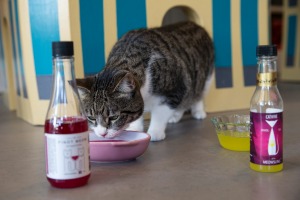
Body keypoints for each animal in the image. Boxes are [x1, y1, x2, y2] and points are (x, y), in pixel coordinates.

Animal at [76, 21, 214, 141]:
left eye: (114, 117)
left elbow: (161, 112)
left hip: (205, 77)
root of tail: (195, 24)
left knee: (197, 93)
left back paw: (198, 111)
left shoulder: (176, 88)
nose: (102, 134)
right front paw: (135, 128)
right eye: (91, 118)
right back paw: (175, 116)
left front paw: (155, 132)